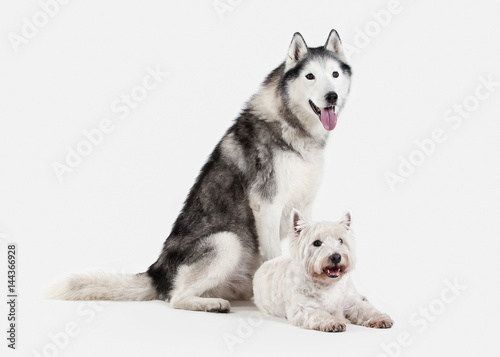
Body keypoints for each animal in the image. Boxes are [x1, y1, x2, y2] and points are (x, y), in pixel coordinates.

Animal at [46, 29, 352, 312]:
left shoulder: (305, 205)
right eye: (310, 76)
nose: (331, 96)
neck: (293, 127)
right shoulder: (267, 206)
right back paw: (212, 304)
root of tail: (156, 271)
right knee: (176, 298)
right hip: (228, 241)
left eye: (335, 74)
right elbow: (275, 256)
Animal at [254, 209, 394, 330]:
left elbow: (365, 309)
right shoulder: (301, 308)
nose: (336, 256)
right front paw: (333, 322)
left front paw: (380, 318)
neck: (327, 284)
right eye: (317, 243)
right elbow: (319, 314)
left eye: (340, 240)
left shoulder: (350, 301)